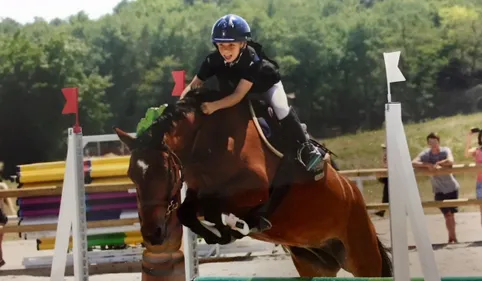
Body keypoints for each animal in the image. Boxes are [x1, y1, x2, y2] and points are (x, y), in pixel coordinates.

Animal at [115, 87, 394, 276]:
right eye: (132, 175)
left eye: (165, 171)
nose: (152, 234)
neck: (205, 141)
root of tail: (353, 191)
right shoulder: (197, 192)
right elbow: (187, 211)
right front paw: (221, 232)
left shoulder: (253, 191)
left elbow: (213, 206)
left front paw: (235, 226)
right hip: (313, 262)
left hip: (362, 257)